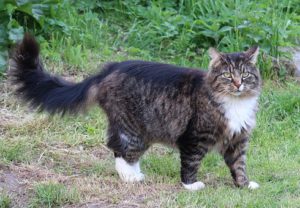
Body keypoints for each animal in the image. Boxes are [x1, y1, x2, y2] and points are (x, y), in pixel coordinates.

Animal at [10, 33, 262, 190]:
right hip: (133, 128)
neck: (236, 103)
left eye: (245, 75)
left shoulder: (238, 139)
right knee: (119, 150)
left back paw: (135, 174)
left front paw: (244, 185)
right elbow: (191, 163)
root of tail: (109, 69)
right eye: (228, 76)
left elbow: (239, 165)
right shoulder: (194, 137)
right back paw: (131, 177)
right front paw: (191, 186)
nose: (238, 84)